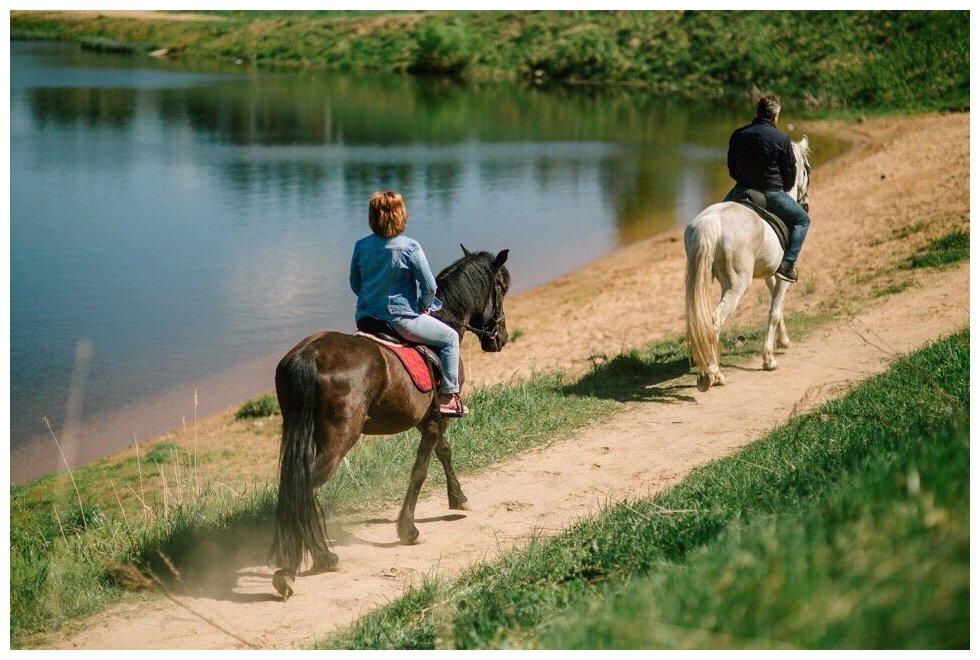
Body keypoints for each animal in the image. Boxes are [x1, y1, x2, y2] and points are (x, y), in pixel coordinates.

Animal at [270, 246, 510, 600]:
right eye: (501, 287)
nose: (500, 338)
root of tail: (308, 356)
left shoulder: (427, 419)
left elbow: (444, 453)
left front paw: (457, 497)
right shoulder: (435, 420)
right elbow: (421, 469)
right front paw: (408, 529)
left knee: (297, 490)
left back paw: (310, 559)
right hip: (339, 439)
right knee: (303, 490)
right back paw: (305, 563)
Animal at [680, 135, 812, 392]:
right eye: (807, 169)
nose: (805, 203)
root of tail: (711, 223)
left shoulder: (771, 273)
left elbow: (777, 306)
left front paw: (783, 341)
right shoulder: (783, 275)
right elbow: (774, 310)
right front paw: (769, 360)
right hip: (735, 287)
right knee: (714, 321)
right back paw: (715, 374)